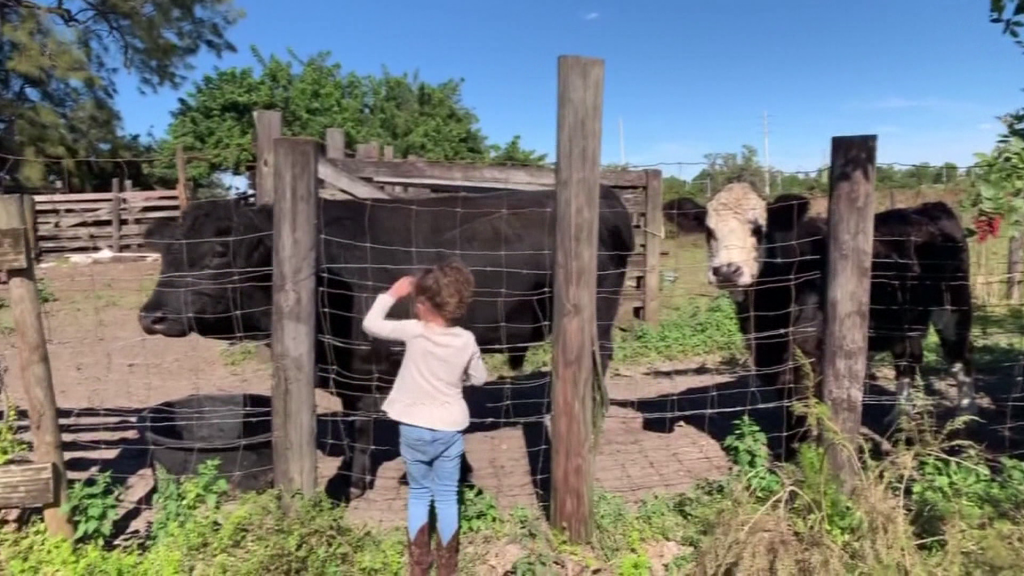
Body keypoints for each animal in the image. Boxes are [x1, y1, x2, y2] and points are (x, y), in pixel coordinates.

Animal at [136, 187, 630, 498]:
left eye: (219, 251)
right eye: (167, 251)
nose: (152, 316)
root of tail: (609, 197)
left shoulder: (361, 366)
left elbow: (359, 425)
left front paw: (352, 483)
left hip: (598, 316)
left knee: (599, 361)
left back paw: (590, 420)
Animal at [663, 186, 974, 455]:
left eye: (759, 229)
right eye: (708, 230)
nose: (727, 271)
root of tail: (928, 206)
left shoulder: (815, 352)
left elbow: (807, 402)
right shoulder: (771, 354)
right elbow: (790, 402)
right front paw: (790, 450)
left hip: (954, 303)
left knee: (958, 357)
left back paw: (965, 418)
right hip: (903, 319)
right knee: (908, 360)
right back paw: (899, 416)